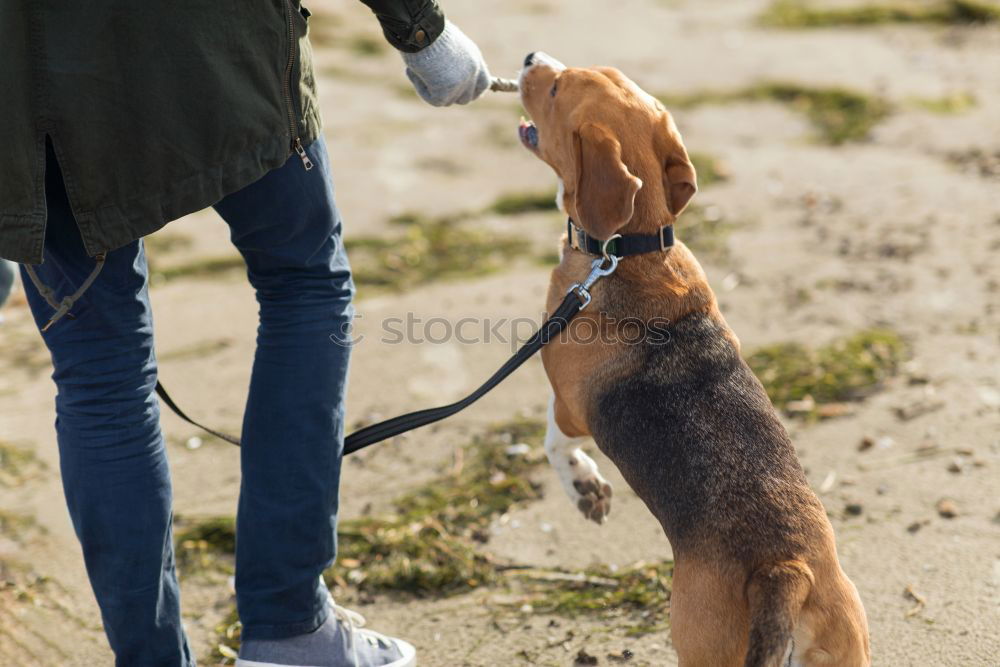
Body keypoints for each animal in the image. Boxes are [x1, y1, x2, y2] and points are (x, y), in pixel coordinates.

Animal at [520, 54, 872, 667]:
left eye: (558, 87)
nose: (530, 59)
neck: (632, 251)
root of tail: (787, 570)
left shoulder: (568, 404)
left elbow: (554, 442)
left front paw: (584, 488)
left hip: (699, 636)